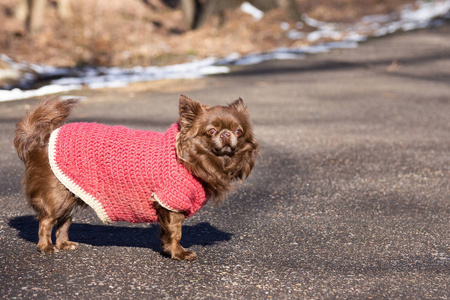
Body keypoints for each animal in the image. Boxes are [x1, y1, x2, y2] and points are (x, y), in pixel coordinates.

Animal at [14, 95, 258, 260]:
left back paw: (65, 244)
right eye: (211, 131)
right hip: (57, 196)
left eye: (239, 132)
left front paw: (168, 250)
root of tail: (42, 138)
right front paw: (178, 253)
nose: (226, 134)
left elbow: (167, 232)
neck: (192, 159)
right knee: (46, 221)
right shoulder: (170, 200)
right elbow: (176, 232)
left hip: (70, 196)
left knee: (64, 222)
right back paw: (46, 247)